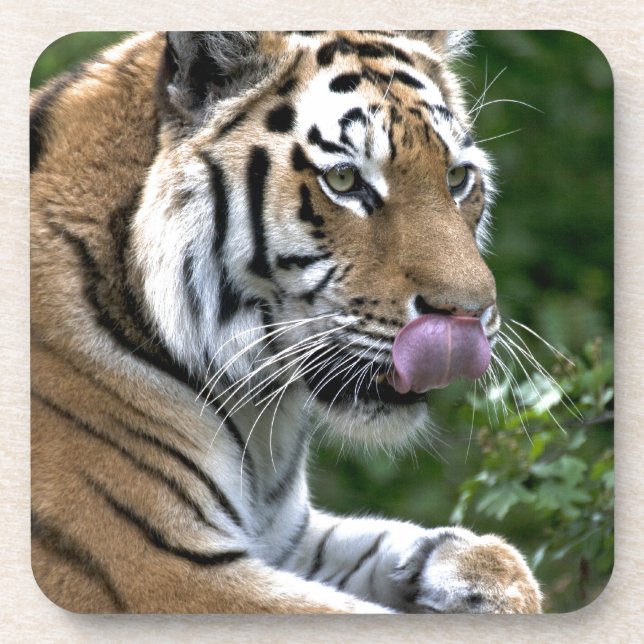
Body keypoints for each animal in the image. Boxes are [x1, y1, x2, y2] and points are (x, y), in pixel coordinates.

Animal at [30, 30, 543, 613]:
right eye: (343, 179)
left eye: (457, 177)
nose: (470, 315)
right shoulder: (155, 566)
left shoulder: (287, 536)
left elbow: (491, 557)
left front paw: (459, 570)